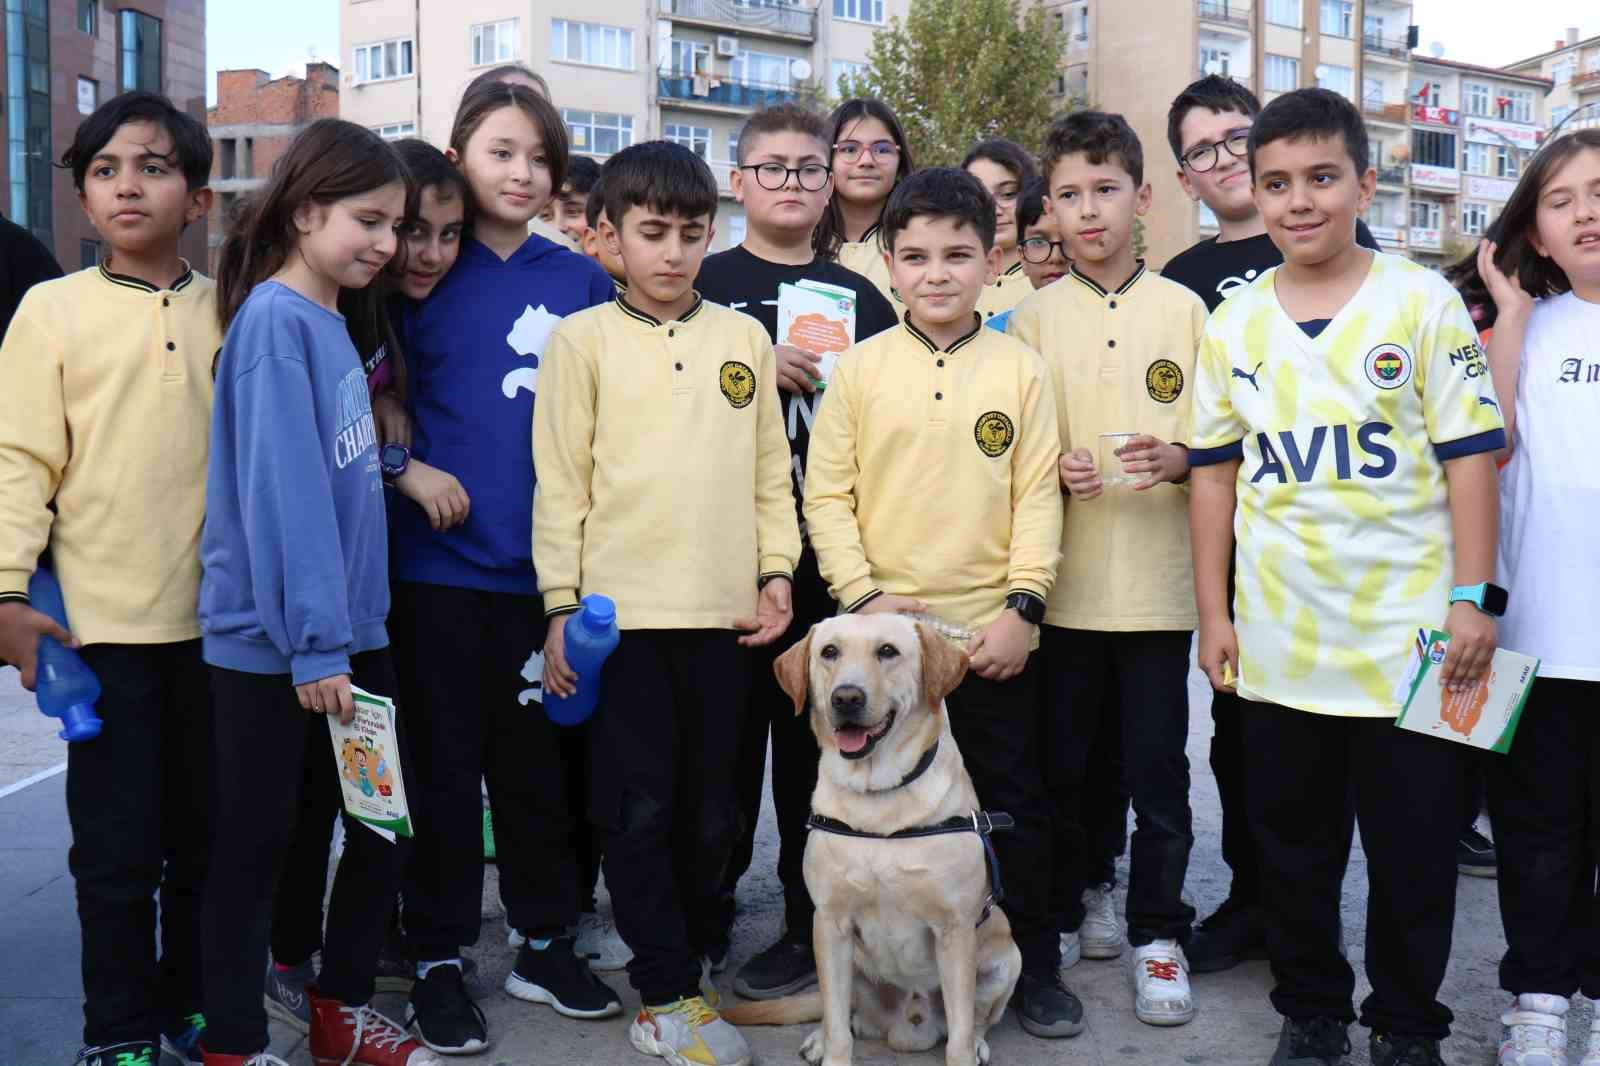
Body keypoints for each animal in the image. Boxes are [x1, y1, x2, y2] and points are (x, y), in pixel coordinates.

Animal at [723, 611, 1017, 1062]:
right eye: (829, 652)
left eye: (887, 651)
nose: (846, 698)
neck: (880, 799)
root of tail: (907, 1027)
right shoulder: (830, 923)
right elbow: (838, 1027)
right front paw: (832, 1051)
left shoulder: (954, 929)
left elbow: (961, 1035)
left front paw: (967, 1050)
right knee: (841, 1015)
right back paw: (821, 1037)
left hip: (1006, 954)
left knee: (978, 1019)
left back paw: (980, 1041)